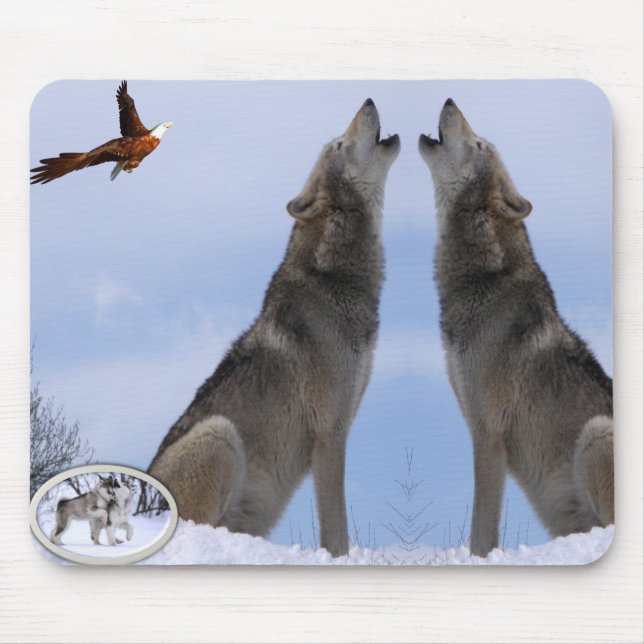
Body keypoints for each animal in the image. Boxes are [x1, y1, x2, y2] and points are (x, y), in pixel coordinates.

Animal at [149, 99, 400, 557]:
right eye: (339, 145)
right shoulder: (330, 433)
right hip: (220, 435)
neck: (335, 281)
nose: (369, 101)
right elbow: (336, 528)